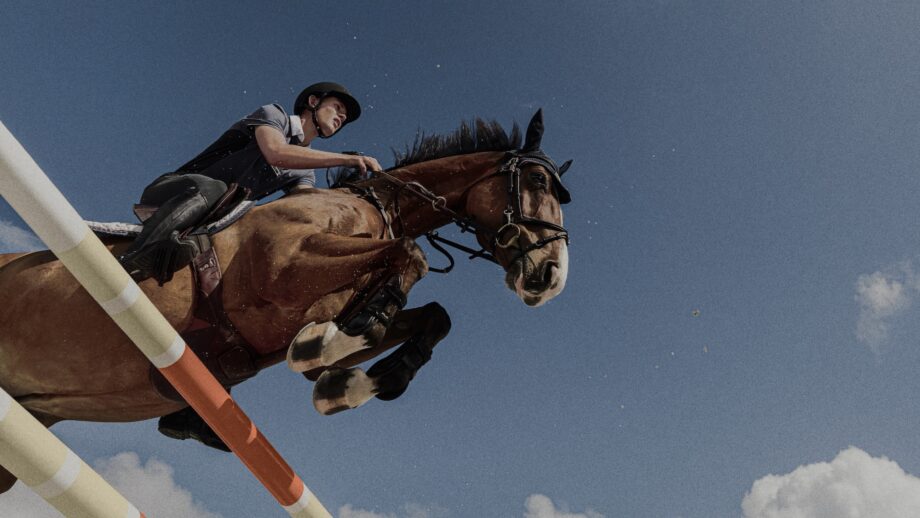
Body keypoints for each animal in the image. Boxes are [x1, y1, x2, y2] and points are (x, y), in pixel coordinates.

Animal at [0, 109, 571, 493]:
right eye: (537, 180)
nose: (550, 278)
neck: (374, 205)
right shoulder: (285, 270)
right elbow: (410, 257)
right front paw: (333, 359)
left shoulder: (320, 309)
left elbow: (428, 317)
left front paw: (351, 384)